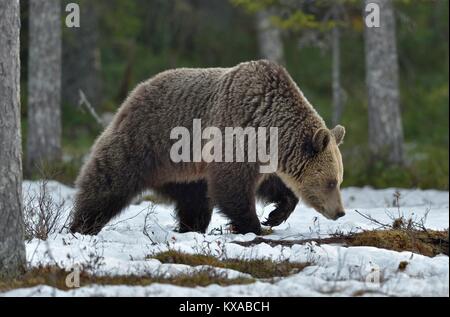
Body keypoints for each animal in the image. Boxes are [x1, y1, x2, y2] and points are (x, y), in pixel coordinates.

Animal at [69, 60, 344, 236]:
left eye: (339, 180)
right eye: (331, 182)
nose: (340, 212)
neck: (268, 127)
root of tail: (136, 90)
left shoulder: (261, 155)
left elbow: (272, 185)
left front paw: (275, 214)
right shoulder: (236, 131)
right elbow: (231, 185)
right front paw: (252, 225)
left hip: (184, 169)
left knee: (195, 202)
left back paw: (190, 228)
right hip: (148, 141)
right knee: (108, 181)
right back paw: (82, 226)